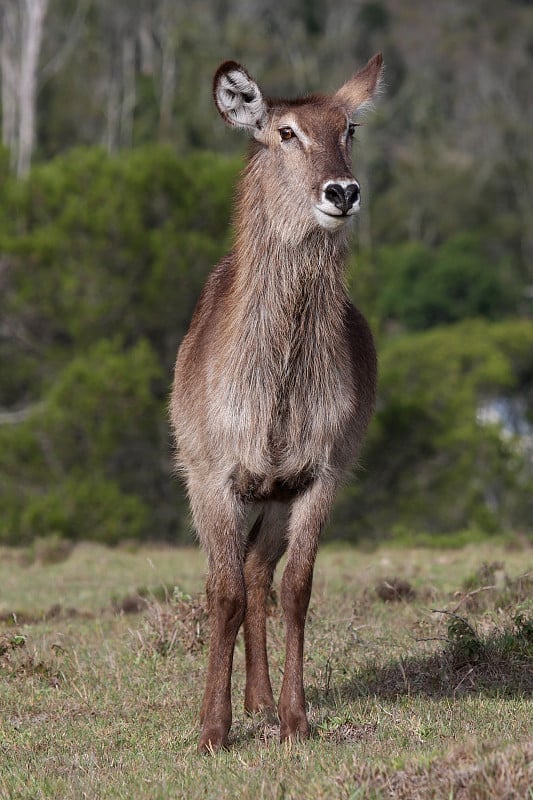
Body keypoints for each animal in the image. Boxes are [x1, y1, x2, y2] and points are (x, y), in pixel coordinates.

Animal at [170, 53, 382, 752]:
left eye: (349, 129)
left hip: (276, 500)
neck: (278, 397)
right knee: (236, 582)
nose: (342, 192)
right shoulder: (214, 478)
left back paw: (261, 701)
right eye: (285, 132)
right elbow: (224, 595)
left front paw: (294, 718)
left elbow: (296, 591)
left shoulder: (319, 475)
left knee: (263, 575)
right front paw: (212, 729)